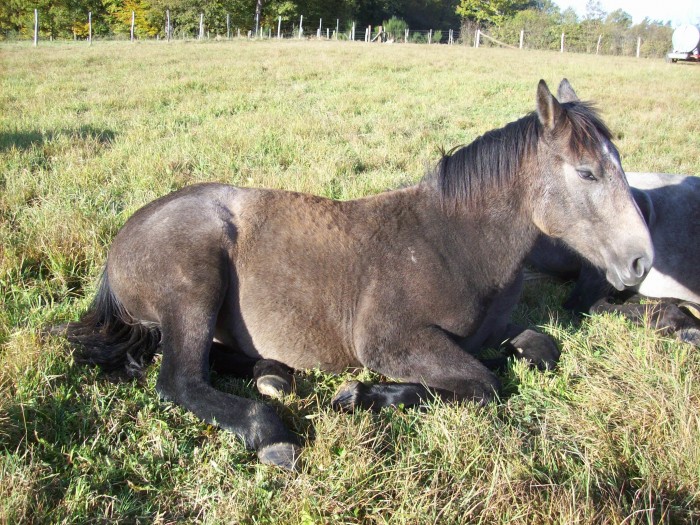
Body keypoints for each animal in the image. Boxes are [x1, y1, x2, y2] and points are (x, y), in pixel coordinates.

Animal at [57, 80, 652, 468]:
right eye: (587, 172)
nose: (640, 263)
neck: (454, 244)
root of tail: (123, 239)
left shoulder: (494, 328)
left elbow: (540, 349)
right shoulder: (389, 341)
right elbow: (483, 384)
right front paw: (365, 395)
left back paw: (273, 373)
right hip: (194, 284)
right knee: (179, 376)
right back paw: (269, 431)